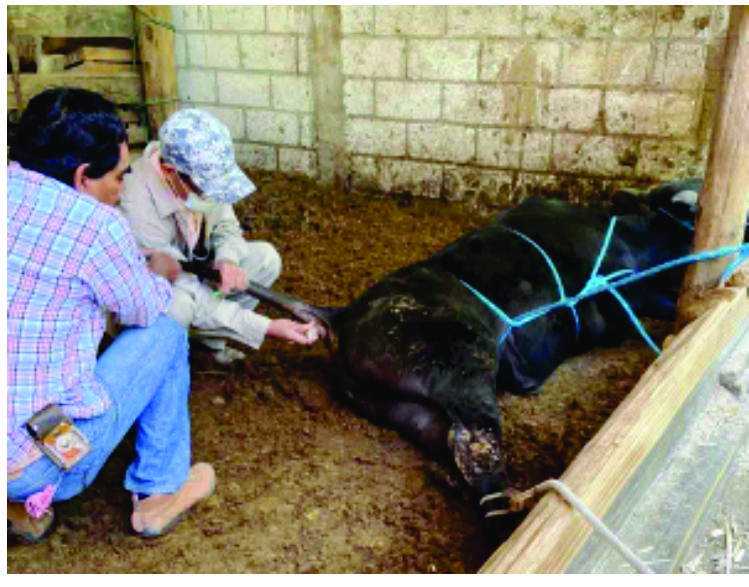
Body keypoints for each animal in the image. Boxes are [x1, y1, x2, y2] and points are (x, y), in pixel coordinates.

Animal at [216, 181, 744, 512]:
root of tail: (345, 313)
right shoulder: (620, 293)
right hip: (459, 363)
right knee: (477, 443)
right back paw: (511, 506)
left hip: (403, 403)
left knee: (452, 442)